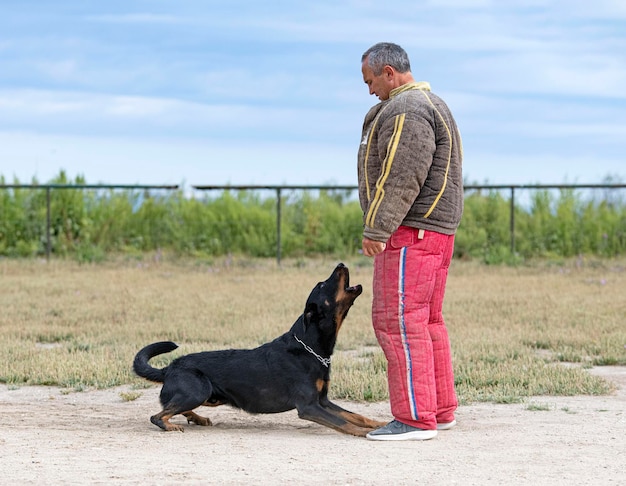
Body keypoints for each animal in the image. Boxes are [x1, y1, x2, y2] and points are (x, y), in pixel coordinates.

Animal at [133, 262, 386, 436]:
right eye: (323, 284)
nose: (341, 264)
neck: (312, 347)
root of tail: (169, 368)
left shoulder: (323, 401)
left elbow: (356, 416)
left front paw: (380, 424)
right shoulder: (309, 406)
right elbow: (345, 423)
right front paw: (364, 434)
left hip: (211, 396)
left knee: (174, 407)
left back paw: (198, 418)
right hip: (198, 390)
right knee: (157, 415)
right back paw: (171, 425)